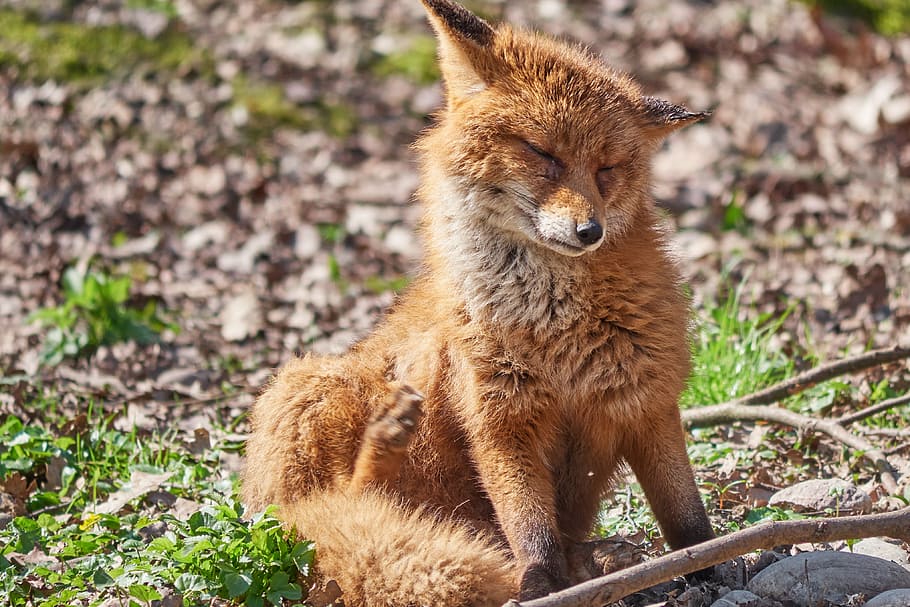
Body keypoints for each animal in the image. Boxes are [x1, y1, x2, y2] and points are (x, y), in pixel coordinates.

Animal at [241, 0, 715, 604]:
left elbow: (687, 519)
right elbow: (530, 529)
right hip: (307, 391)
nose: (590, 231)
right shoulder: (498, 415)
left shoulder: (646, 400)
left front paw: (717, 567)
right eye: (542, 154)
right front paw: (540, 584)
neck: (555, 331)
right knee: (343, 507)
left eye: (607, 169)